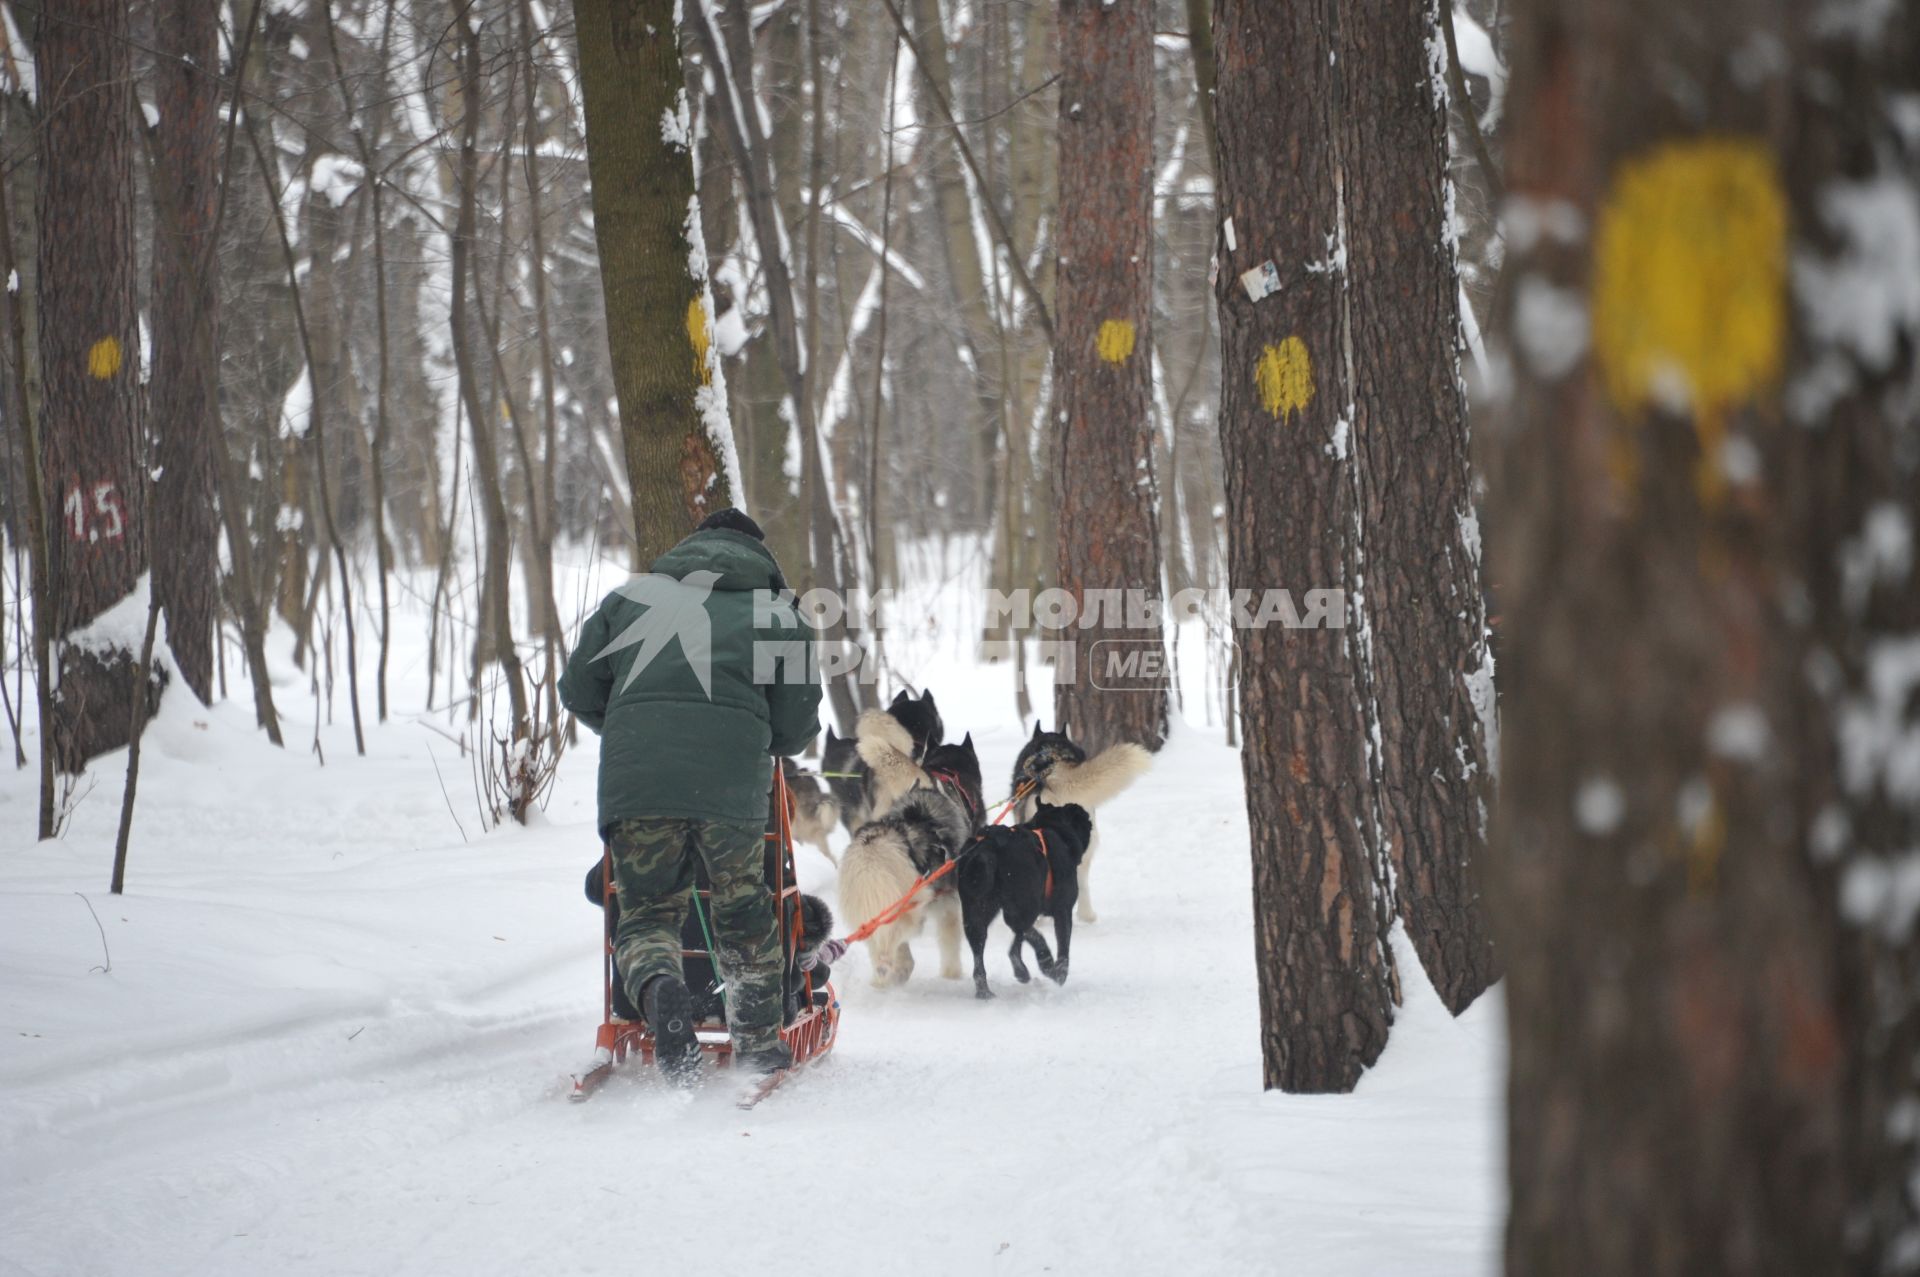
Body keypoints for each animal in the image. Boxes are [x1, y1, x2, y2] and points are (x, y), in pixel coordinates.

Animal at [844, 725, 990, 983]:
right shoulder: (948, 902)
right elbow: (951, 942)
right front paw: (952, 974)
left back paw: (883, 976)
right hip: (914, 905)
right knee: (895, 937)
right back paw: (896, 967)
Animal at [952, 802, 1090, 998]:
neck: (1053, 828)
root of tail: (989, 846)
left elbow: (1016, 943)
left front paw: (1021, 970)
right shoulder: (1063, 910)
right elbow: (1063, 948)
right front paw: (1058, 972)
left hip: (977, 912)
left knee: (981, 954)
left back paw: (985, 991)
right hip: (1026, 903)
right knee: (1023, 927)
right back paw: (1045, 959)